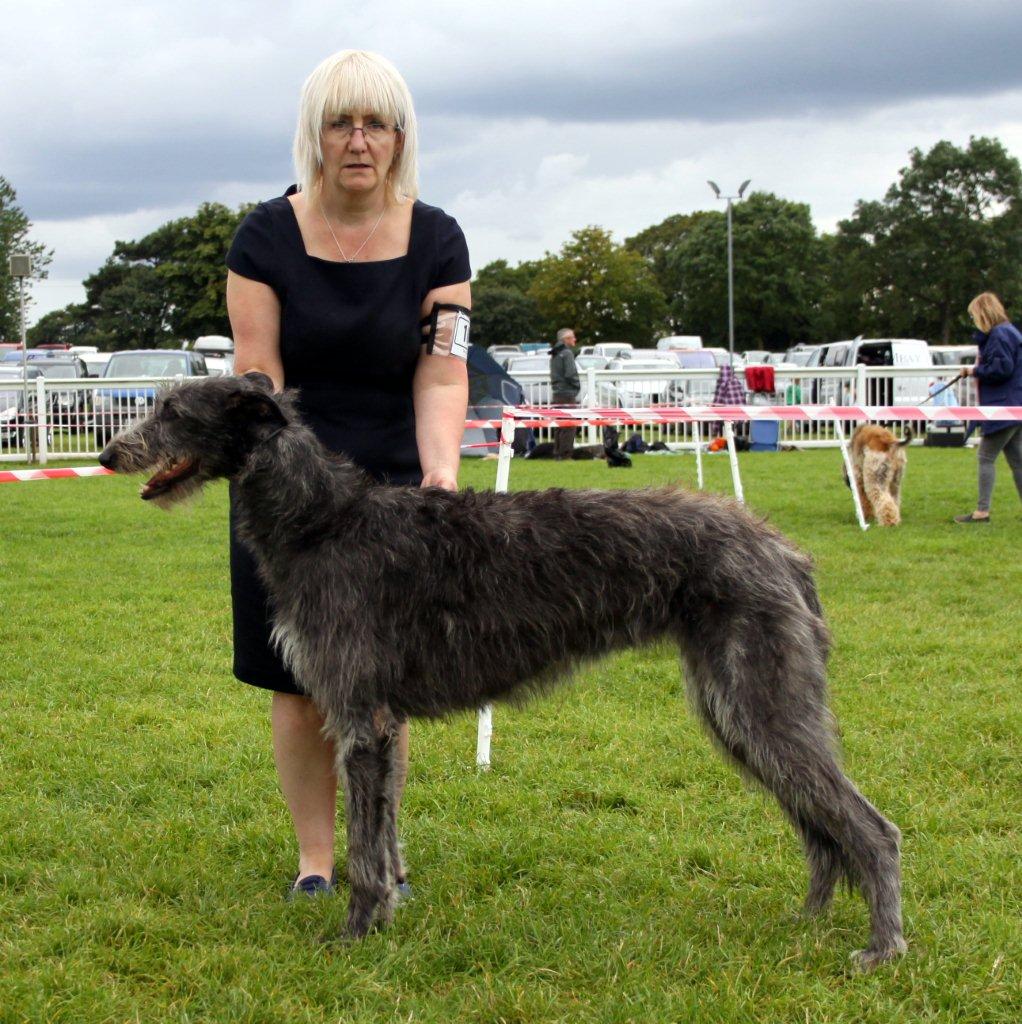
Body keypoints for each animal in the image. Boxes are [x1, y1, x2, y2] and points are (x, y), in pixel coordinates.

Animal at [99, 372, 909, 962]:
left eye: (173, 410)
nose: (108, 454)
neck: (323, 519)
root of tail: (783, 549)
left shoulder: (360, 716)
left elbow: (363, 845)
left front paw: (355, 934)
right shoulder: (380, 726)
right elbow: (383, 833)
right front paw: (385, 917)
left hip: (759, 696)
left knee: (869, 827)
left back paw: (882, 947)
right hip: (738, 707)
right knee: (819, 824)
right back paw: (808, 920)